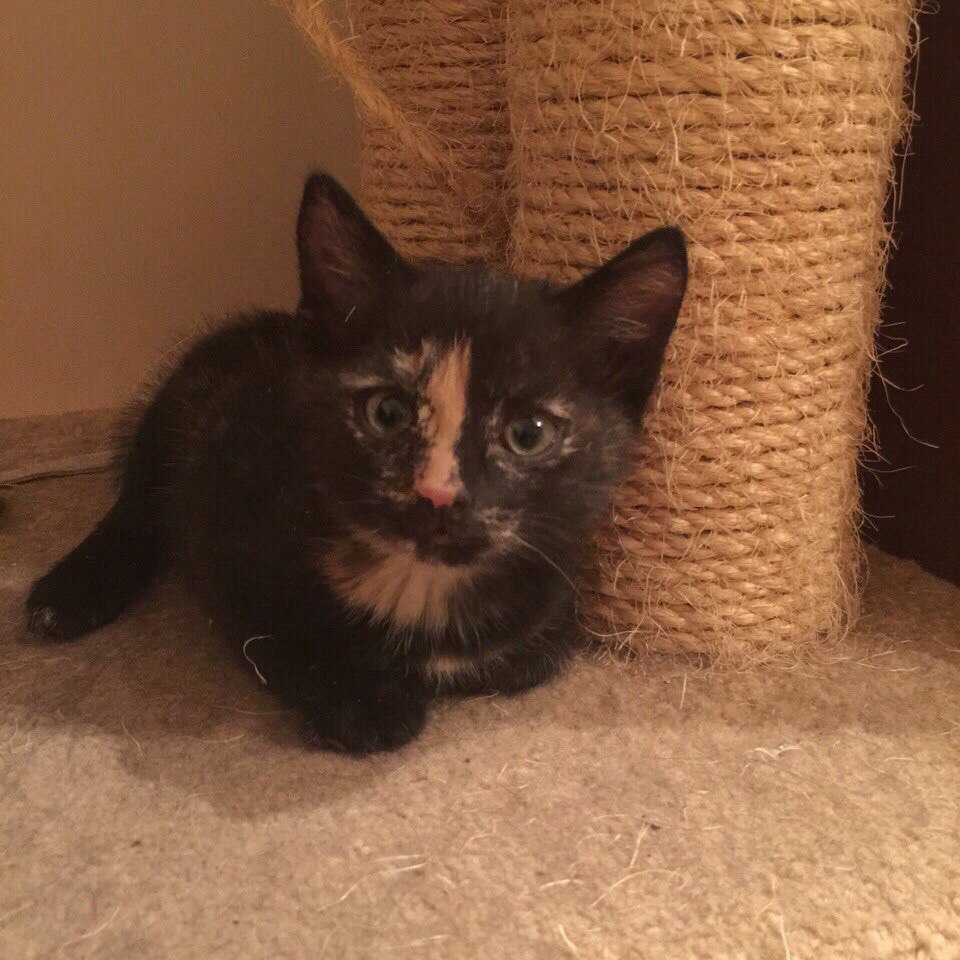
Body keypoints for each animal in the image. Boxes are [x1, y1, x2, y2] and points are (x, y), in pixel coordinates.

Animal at [26, 173, 687, 753]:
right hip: (185, 398)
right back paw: (72, 590)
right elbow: (268, 630)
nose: (439, 494)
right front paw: (361, 698)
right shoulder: (221, 498)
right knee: (138, 500)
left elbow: (530, 657)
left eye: (528, 434)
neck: (420, 585)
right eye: (387, 413)